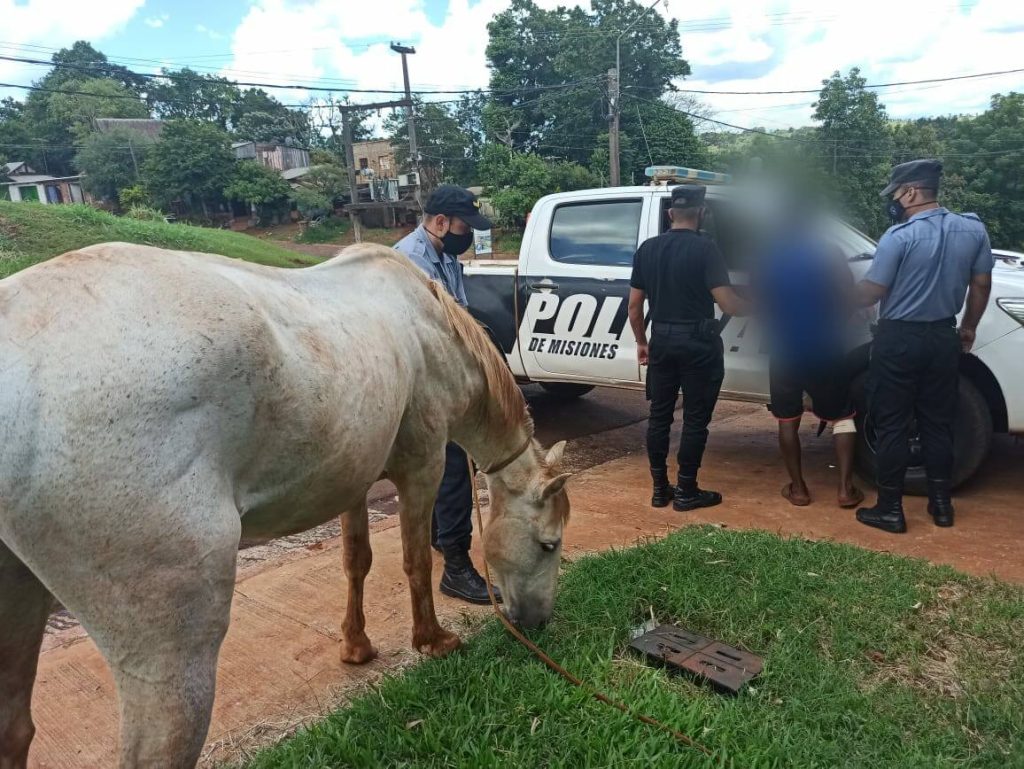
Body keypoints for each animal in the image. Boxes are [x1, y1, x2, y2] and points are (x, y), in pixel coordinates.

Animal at [0, 244, 573, 769]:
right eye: (550, 544)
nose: (538, 622)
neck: (431, 332)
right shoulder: (422, 469)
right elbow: (414, 561)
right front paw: (431, 641)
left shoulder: (354, 480)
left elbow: (356, 562)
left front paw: (356, 646)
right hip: (169, 652)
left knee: (15, 730)